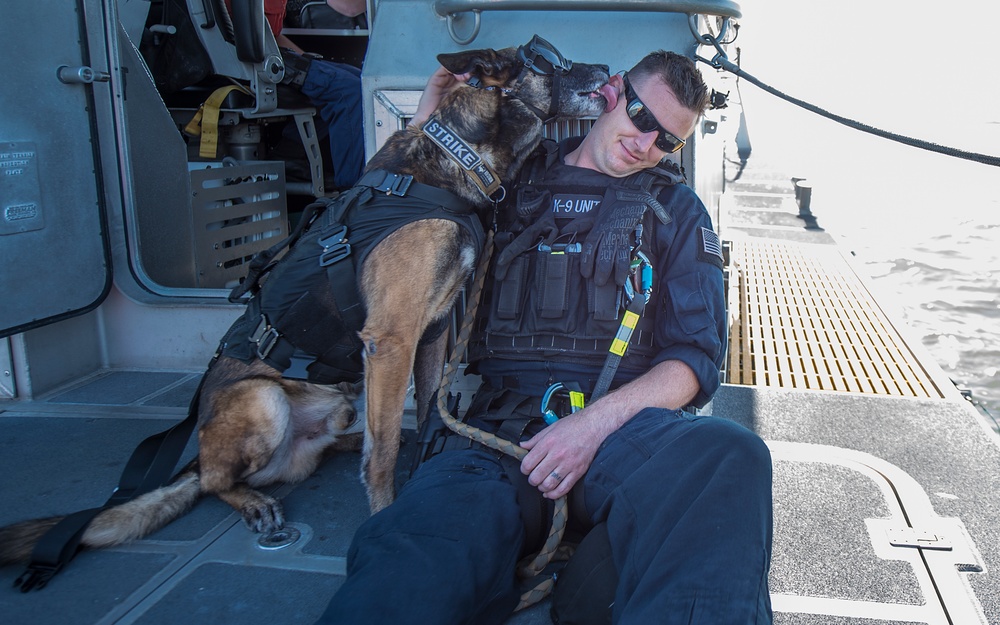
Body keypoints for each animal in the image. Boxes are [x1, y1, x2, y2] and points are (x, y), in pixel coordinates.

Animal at [0, 35, 608, 572]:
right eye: (553, 61)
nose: (605, 68)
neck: (458, 158)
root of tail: (200, 452)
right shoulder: (391, 339)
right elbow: (384, 454)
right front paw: (383, 510)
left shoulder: (431, 332)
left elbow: (422, 414)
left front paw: (425, 449)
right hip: (264, 399)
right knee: (222, 480)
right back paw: (253, 499)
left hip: (336, 401)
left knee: (344, 438)